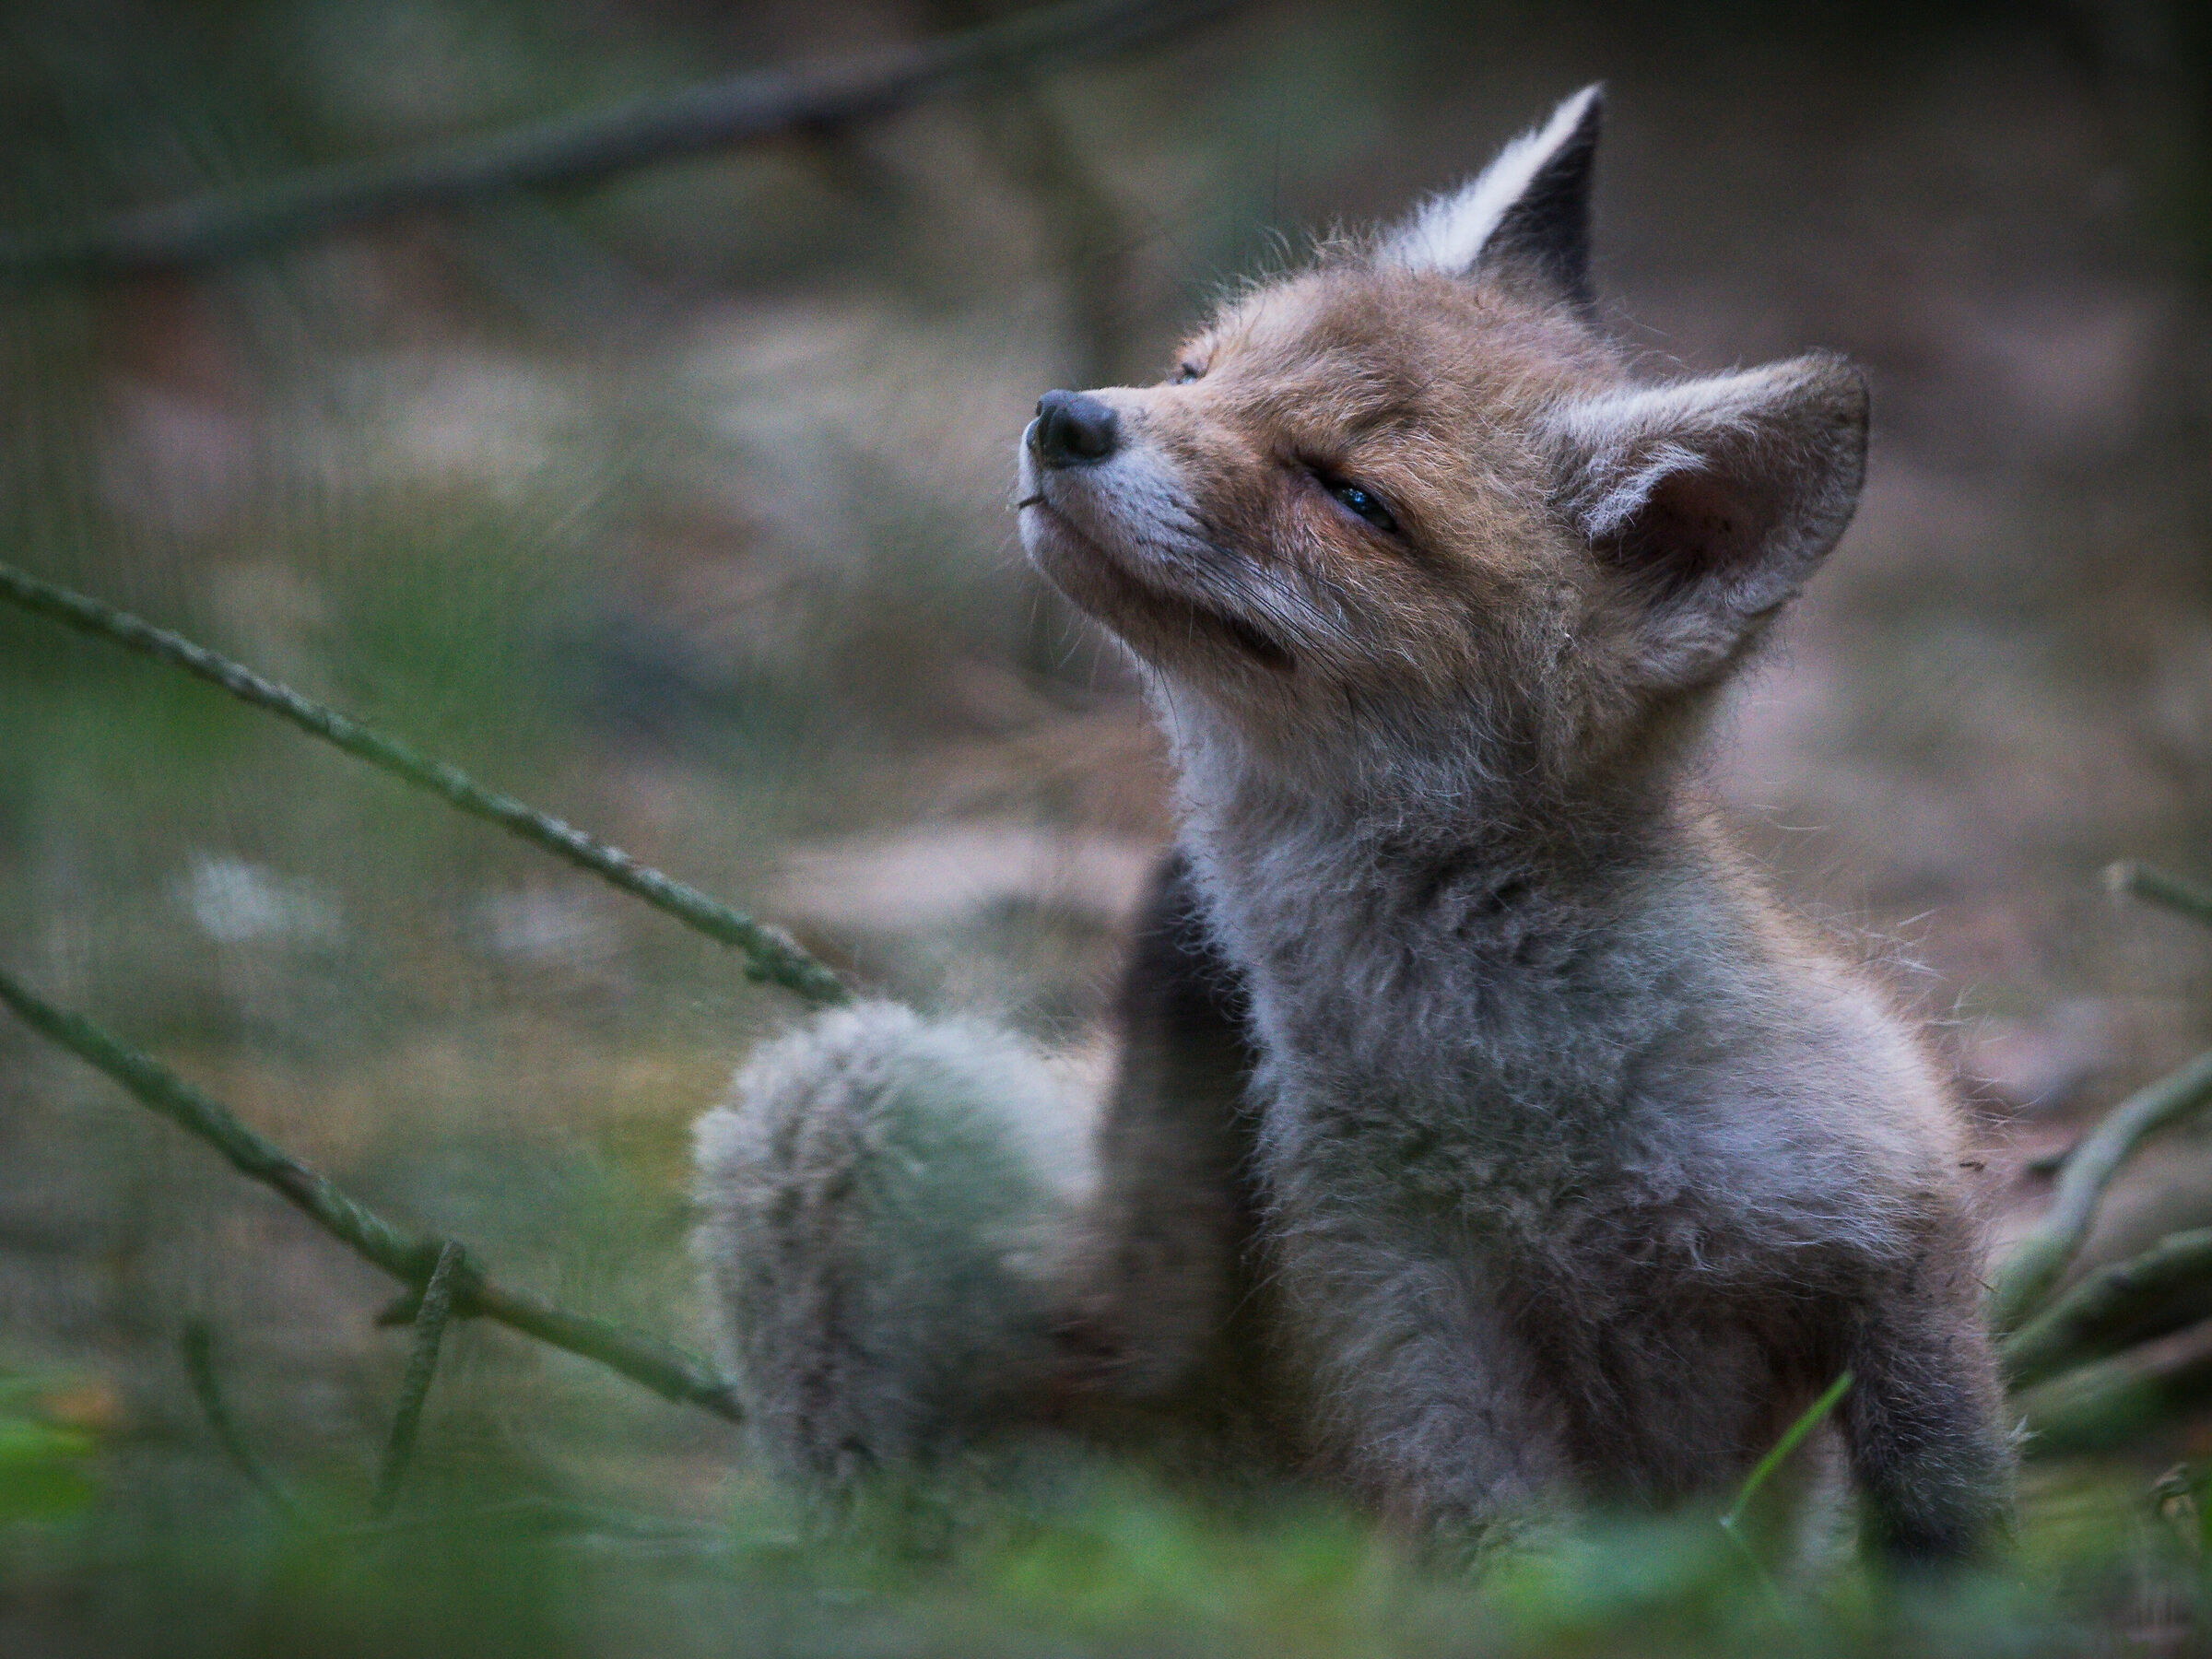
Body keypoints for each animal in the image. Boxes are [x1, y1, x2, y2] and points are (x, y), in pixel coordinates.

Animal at [694, 85, 2014, 1566]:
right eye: (1197, 370)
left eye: (1352, 497)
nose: (1066, 416)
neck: (1516, 1108)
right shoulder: (1400, 1323)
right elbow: (1499, 1559)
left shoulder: (1888, 1205)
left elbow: (1946, 1512)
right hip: (846, 1098)